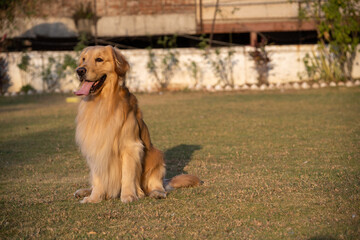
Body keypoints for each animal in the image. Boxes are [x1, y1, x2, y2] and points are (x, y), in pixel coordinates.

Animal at [73, 45, 202, 202]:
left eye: (99, 59)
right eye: (83, 59)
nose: (79, 70)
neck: (102, 102)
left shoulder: (131, 146)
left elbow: (128, 175)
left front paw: (129, 195)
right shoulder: (95, 147)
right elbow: (98, 178)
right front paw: (94, 197)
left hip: (157, 156)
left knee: (156, 184)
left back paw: (156, 192)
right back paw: (85, 191)